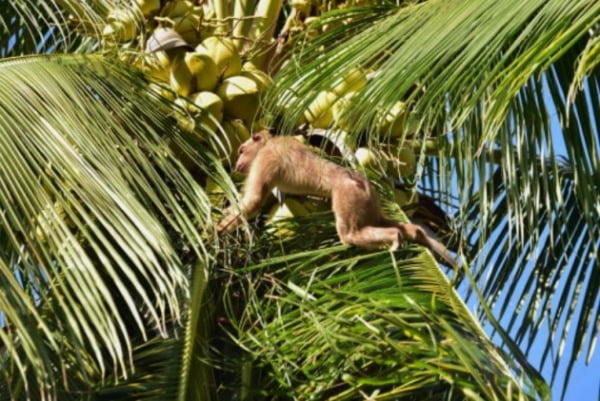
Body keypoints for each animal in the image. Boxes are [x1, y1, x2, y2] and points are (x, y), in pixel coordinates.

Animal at [218, 128, 458, 266]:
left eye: (241, 150)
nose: (237, 162)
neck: (270, 142)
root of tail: (361, 181)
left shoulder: (266, 158)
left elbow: (254, 200)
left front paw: (215, 232)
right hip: (369, 203)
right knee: (385, 222)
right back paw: (414, 234)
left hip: (348, 195)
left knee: (350, 234)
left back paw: (394, 238)